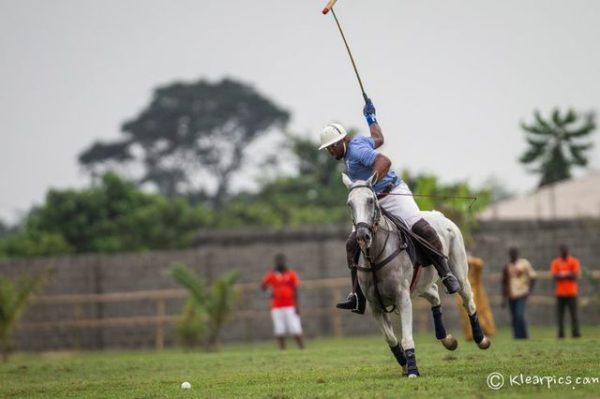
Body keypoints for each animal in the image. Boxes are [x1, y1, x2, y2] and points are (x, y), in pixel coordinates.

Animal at [342, 174, 492, 378]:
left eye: (371, 200)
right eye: (349, 204)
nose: (363, 236)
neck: (376, 257)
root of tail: (441, 215)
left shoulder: (403, 298)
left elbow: (406, 338)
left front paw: (412, 370)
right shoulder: (375, 306)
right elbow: (391, 339)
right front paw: (405, 364)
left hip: (460, 271)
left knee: (468, 301)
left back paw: (481, 339)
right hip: (421, 285)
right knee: (435, 294)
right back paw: (447, 339)